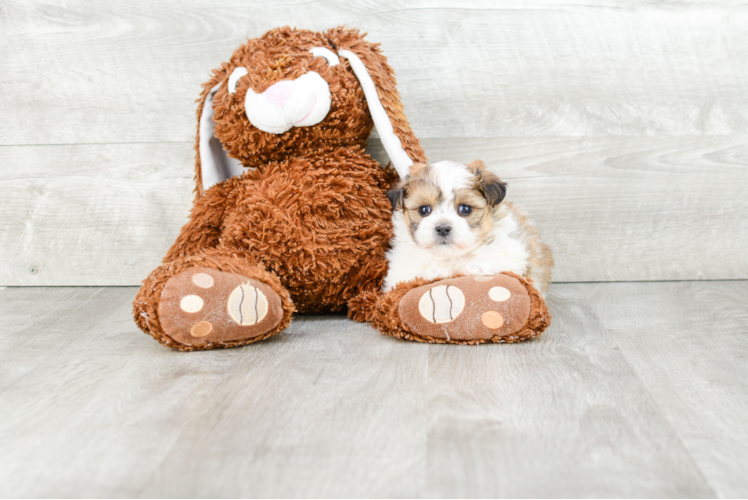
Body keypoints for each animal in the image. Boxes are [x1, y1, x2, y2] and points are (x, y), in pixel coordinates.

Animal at [382, 159, 552, 292]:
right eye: (424, 210)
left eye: (465, 209)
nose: (443, 228)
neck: (451, 257)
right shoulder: (397, 273)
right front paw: (436, 271)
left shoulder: (513, 252)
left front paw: (475, 267)